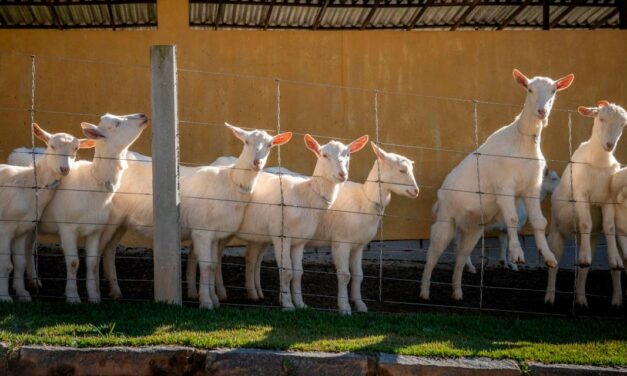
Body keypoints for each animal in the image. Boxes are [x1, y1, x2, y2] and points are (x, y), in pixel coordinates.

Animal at [0, 125, 93, 302]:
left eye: (76, 148)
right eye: (51, 146)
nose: (65, 169)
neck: (29, 184)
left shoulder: (23, 228)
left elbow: (20, 262)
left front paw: (22, 293)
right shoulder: (5, 228)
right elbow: (6, 265)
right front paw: (4, 297)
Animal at [37, 113, 148, 304]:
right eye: (117, 123)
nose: (143, 116)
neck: (91, 183)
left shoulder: (96, 229)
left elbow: (93, 262)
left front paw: (94, 297)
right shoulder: (67, 228)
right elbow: (73, 262)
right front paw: (73, 296)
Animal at [98, 123, 294, 306]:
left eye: (270, 144)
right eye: (246, 141)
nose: (257, 162)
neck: (230, 182)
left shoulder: (215, 233)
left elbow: (212, 265)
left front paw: (213, 299)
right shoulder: (202, 230)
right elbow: (206, 265)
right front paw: (206, 302)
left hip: (121, 221)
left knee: (109, 250)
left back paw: (115, 291)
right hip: (109, 217)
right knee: (99, 248)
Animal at [422, 69, 576, 302]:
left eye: (554, 90)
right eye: (529, 89)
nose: (542, 111)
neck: (522, 143)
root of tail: (440, 195)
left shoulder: (532, 186)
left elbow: (540, 221)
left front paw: (549, 256)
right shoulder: (504, 187)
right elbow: (511, 218)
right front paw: (516, 255)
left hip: (473, 228)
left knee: (461, 256)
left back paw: (457, 292)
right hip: (445, 220)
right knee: (433, 254)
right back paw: (424, 291)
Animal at [544, 101, 627, 306]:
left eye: (623, 124)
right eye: (601, 118)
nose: (609, 145)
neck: (598, 162)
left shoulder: (608, 198)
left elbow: (609, 226)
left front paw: (615, 259)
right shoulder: (581, 194)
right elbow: (585, 222)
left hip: (590, 240)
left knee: (584, 268)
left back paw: (582, 298)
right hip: (556, 232)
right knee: (554, 263)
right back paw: (549, 297)